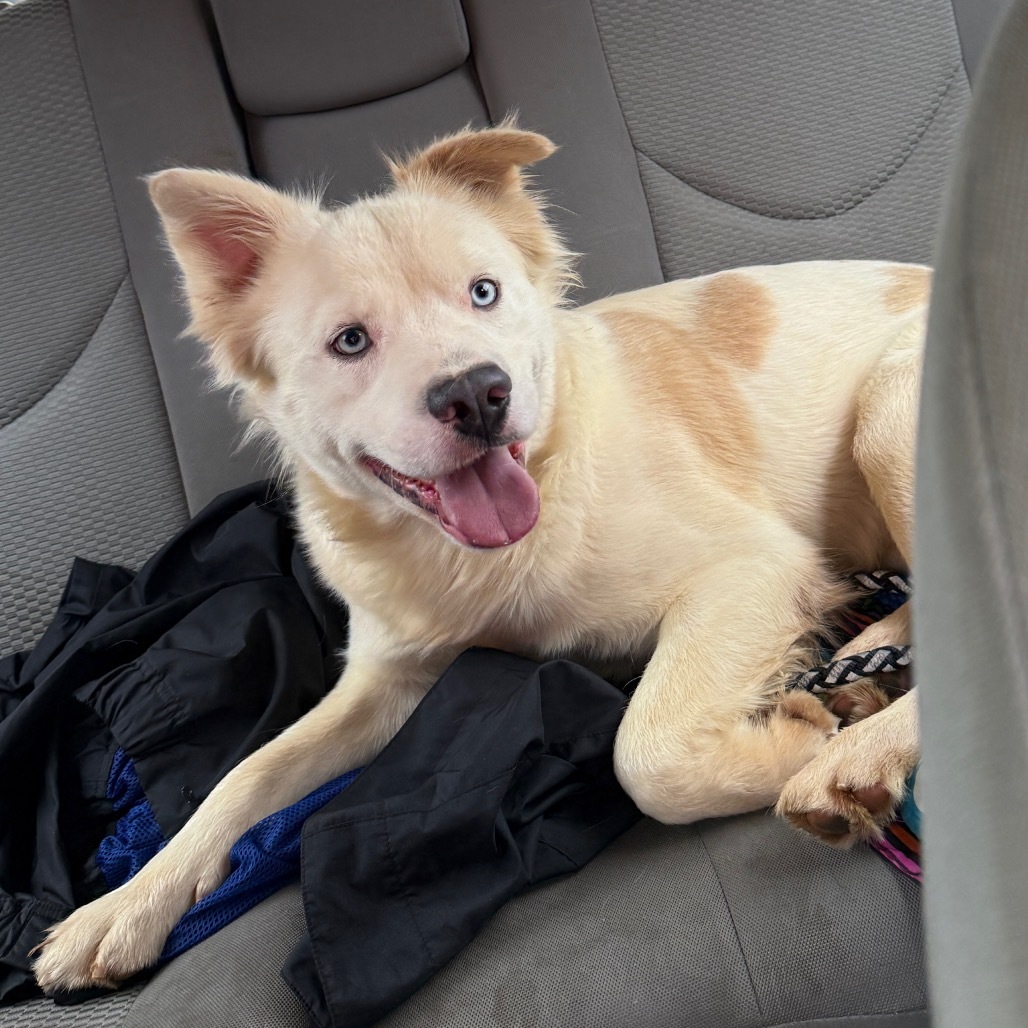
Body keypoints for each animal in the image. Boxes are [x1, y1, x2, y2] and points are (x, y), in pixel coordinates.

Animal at [36, 124, 925, 990]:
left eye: (484, 293)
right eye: (350, 341)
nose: (476, 393)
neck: (484, 556)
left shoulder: (749, 567)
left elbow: (644, 753)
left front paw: (796, 744)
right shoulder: (388, 683)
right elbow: (247, 774)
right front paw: (125, 905)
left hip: (887, 412)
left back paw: (858, 755)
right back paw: (865, 669)